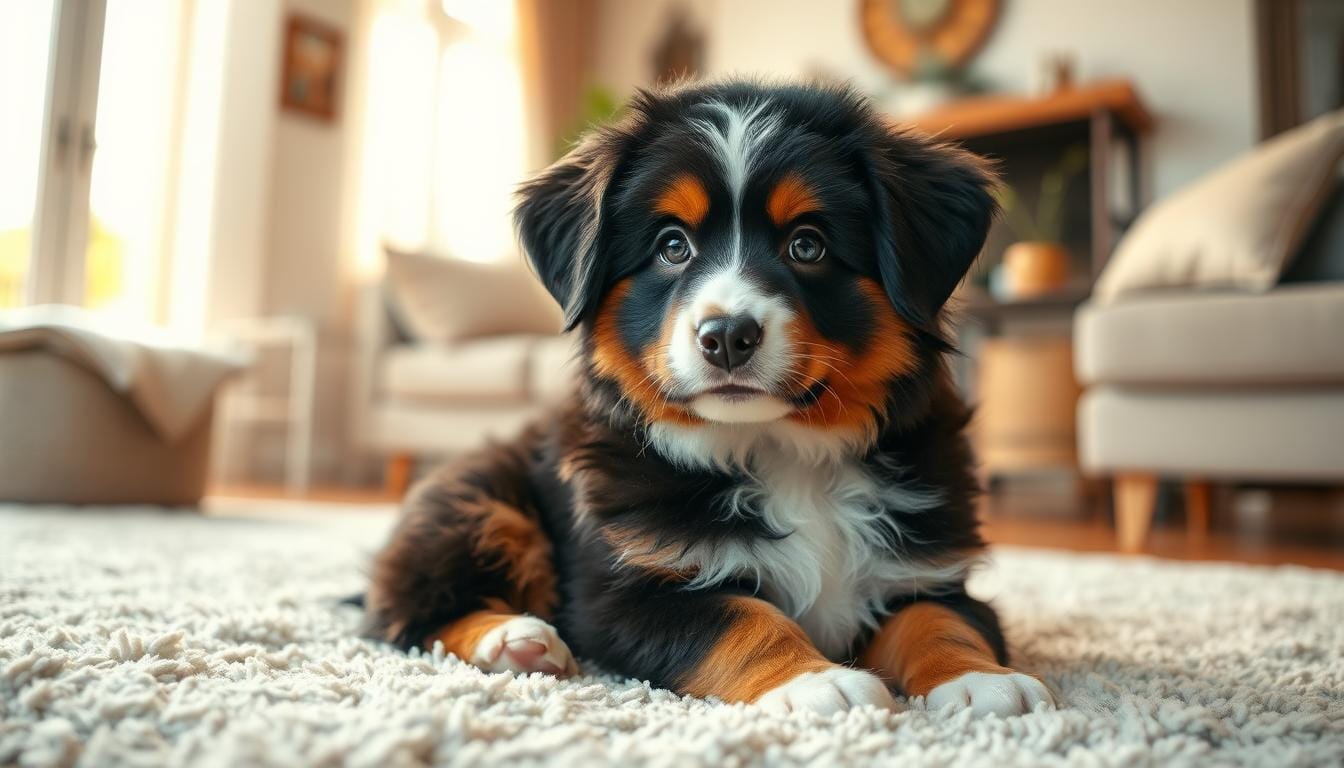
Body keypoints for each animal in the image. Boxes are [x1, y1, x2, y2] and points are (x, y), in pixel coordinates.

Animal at [362, 81, 1053, 720]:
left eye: (807, 244)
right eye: (673, 245)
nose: (725, 336)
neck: (785, 452)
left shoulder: (927, 565)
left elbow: (942, 618)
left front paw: (981, 680)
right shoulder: (627, 591)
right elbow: (739, 618)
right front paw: (815, 682)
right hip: (476, 501)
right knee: (405, 615)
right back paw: (514, 639)